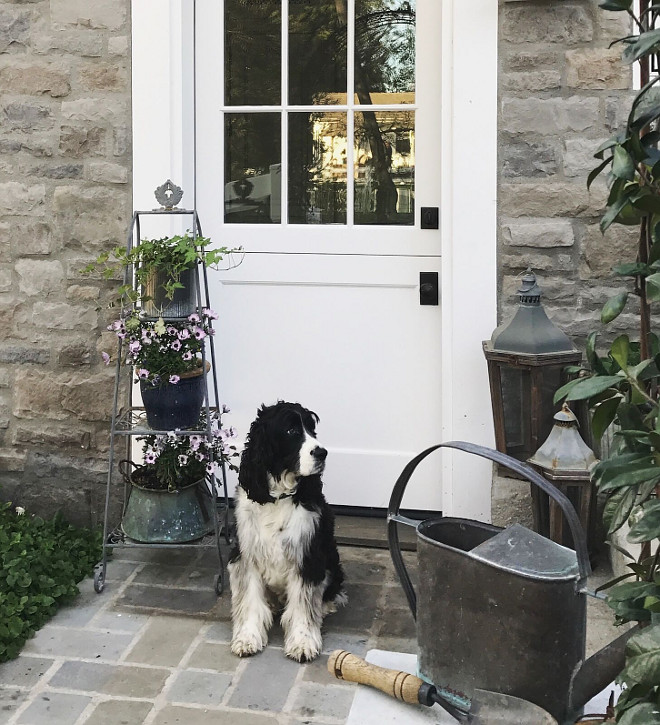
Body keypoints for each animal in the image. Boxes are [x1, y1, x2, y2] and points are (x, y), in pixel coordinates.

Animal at [229, 402, 348, 660]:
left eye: (312, 429)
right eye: (291, 431)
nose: (322, 453)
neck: (278, 497)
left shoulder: (307, 556)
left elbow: (303, 604)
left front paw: (303, 642)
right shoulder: (246, 555)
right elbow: (250, 599)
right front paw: (247, 638)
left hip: (331, 559)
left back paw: (326, 605)